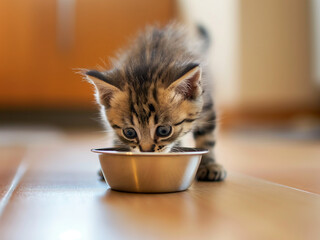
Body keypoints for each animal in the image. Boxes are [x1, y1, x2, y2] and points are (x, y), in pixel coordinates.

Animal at [84, 23, 226, 180]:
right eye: (129, 132)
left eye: (163, 131)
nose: (146, 151)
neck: (151, 61)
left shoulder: (206, 105)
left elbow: (207, 137)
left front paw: (209, 165)